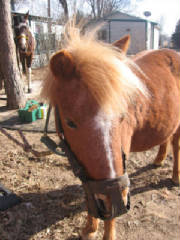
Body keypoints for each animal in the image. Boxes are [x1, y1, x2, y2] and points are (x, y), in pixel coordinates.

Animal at [40, 25, 180, 239]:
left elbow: (111, 210)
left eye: (122, 116)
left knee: (176, 145)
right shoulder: (84, 167)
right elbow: (89, 194)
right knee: (166, 138)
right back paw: (158, 160)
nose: (114, 195)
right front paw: (90, 228)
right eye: (70, 123)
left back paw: (175, 177)